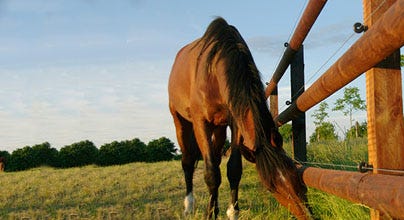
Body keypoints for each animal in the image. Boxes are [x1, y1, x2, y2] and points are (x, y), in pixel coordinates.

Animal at [167, 17, 312, 220]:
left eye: (296, 176)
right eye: (271, 188)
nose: (307, 215)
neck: (213, 71)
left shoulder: (234, 122)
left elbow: (233, 169)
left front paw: (232, 212)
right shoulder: (201, 122)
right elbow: (211, 173)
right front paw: (210, 214)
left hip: (219, 128)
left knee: (215, 160)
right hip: (181, 121)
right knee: (188, 161)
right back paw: (189, 206)